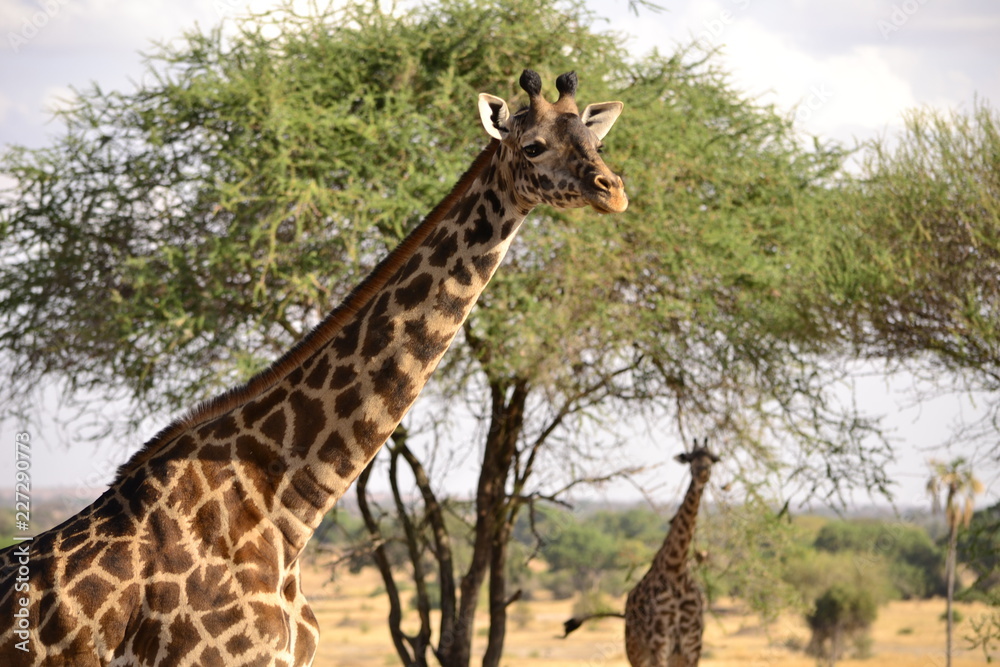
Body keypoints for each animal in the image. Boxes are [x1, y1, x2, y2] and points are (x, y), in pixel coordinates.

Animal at [624, 440, 719, 667]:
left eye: (713, 459)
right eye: (689, 458)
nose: (703, 471)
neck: (676, 569)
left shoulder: (692, 646)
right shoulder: (659, 642)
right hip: (636, 651)